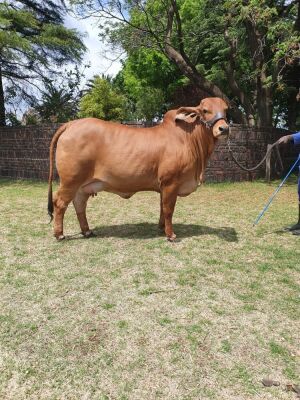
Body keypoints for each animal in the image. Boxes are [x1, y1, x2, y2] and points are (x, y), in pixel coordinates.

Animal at [48, 97, 229, 241]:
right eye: (205, 110)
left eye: (226, 110)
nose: (224, 128)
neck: (189, 139)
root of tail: (72, 124)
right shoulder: (171, 183)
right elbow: (168, 209)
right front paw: (170, 235)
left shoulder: (163, 186)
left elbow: (162, 208)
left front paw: (161, 228)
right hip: (70, 181)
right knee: (60, 203)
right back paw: (59, 234)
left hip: (83, 185)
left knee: (79, 204)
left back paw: (87, 231)